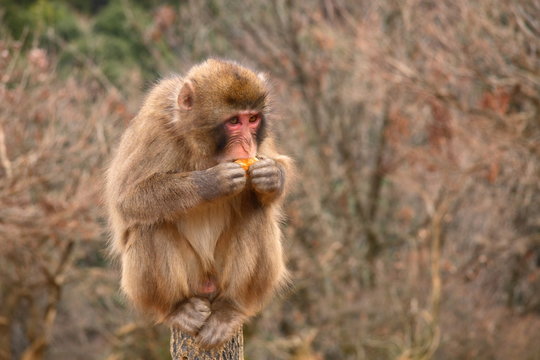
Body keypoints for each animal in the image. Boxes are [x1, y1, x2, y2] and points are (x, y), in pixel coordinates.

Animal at [104, 59, 292, 348]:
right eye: (234, 121)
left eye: (252, 119)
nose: (247, 143)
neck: (204, 150)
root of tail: (207, 284)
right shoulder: (155, 124)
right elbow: (128, 199)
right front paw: (211, 182)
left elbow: (273, 165)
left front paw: (272, 176)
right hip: (189, 278)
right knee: (150, 223)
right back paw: (177, 308)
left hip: (219, 274)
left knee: (256, 212)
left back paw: (230, 308)